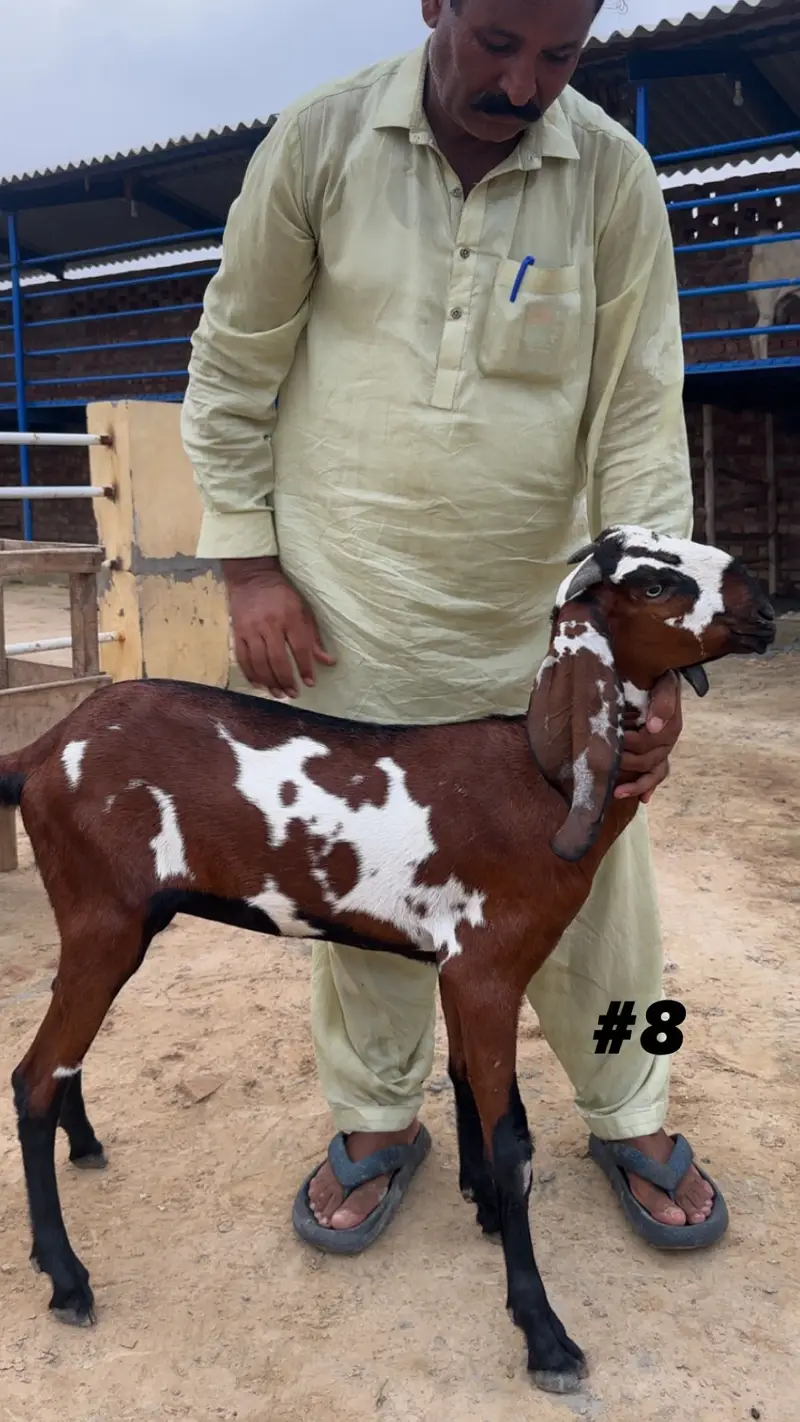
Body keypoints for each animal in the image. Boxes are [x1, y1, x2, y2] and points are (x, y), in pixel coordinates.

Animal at [0, 525, 775, 1393]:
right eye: (651, 585)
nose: (767, 609)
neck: (535, 782)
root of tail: (42, 751)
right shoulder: (488, 969)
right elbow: (515, 1145)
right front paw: (543, 1333)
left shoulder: (457, 967)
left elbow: (467, 1082)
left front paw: (480, 1207)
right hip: (103, 922)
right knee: (32, 1079)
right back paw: (67, 1279)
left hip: (108, 928)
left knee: (62, 1060)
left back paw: (85, 1146)